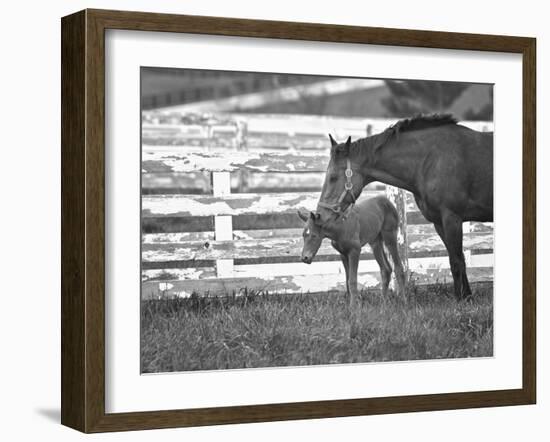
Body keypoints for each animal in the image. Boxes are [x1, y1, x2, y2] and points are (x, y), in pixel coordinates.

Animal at [316, 114, 494, 300]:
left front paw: (460, 300)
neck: (432, 159)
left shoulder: (452, 218)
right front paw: (467, 297)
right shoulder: (440, 223)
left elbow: (456, 262)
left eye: (333, 177)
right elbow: (459, 259)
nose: (319, 214)